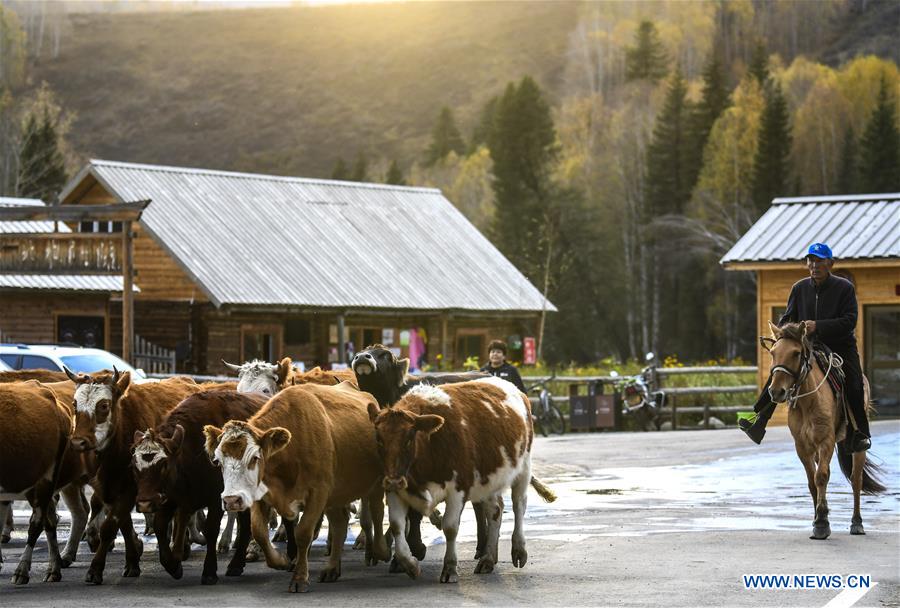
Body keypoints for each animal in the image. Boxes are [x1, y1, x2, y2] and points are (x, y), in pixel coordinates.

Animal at [65, 368, 200, 588]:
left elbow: (110, 527)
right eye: (75, 404)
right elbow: (124, 523)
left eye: (103, 405)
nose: (78, 442)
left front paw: (95, 569)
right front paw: (133, 558)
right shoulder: (107, 489)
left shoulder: (131, 489)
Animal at [204, 382, 390, 592]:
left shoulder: (318, 492)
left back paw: (380, 551)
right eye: (217, 461)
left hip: (373, 484)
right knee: (340, 523)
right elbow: (259, 531)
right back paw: (332, 568)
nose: (231, 500)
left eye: (255, 458)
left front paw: (300, 578)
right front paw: (281, 560)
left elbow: (302, 533)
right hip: (336, 494)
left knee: (376, 513)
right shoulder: (259, 494)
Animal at [370, 378, 552, 580]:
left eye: (409, 438)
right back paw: (488, 558)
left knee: (519, 504)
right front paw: (410, 564)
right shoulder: (396, 490)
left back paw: (519, 549)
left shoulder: (458, 489)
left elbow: (450, 527)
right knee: (495, 511)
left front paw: (450, 567)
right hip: (489, 479)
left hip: (524, 467)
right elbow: (397, 525)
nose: (394, 481)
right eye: (379, 439)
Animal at [760, 320, 884, 540]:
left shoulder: (826, 441)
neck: (808, 401)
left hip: (858, 447)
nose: (776, 391)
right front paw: (819, 517)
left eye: (796, 353)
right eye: (773, 352)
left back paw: (857, 523)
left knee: (856, 480)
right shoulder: (802, 446)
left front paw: (821, 523)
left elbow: (821, 477)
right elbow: (812, 482)